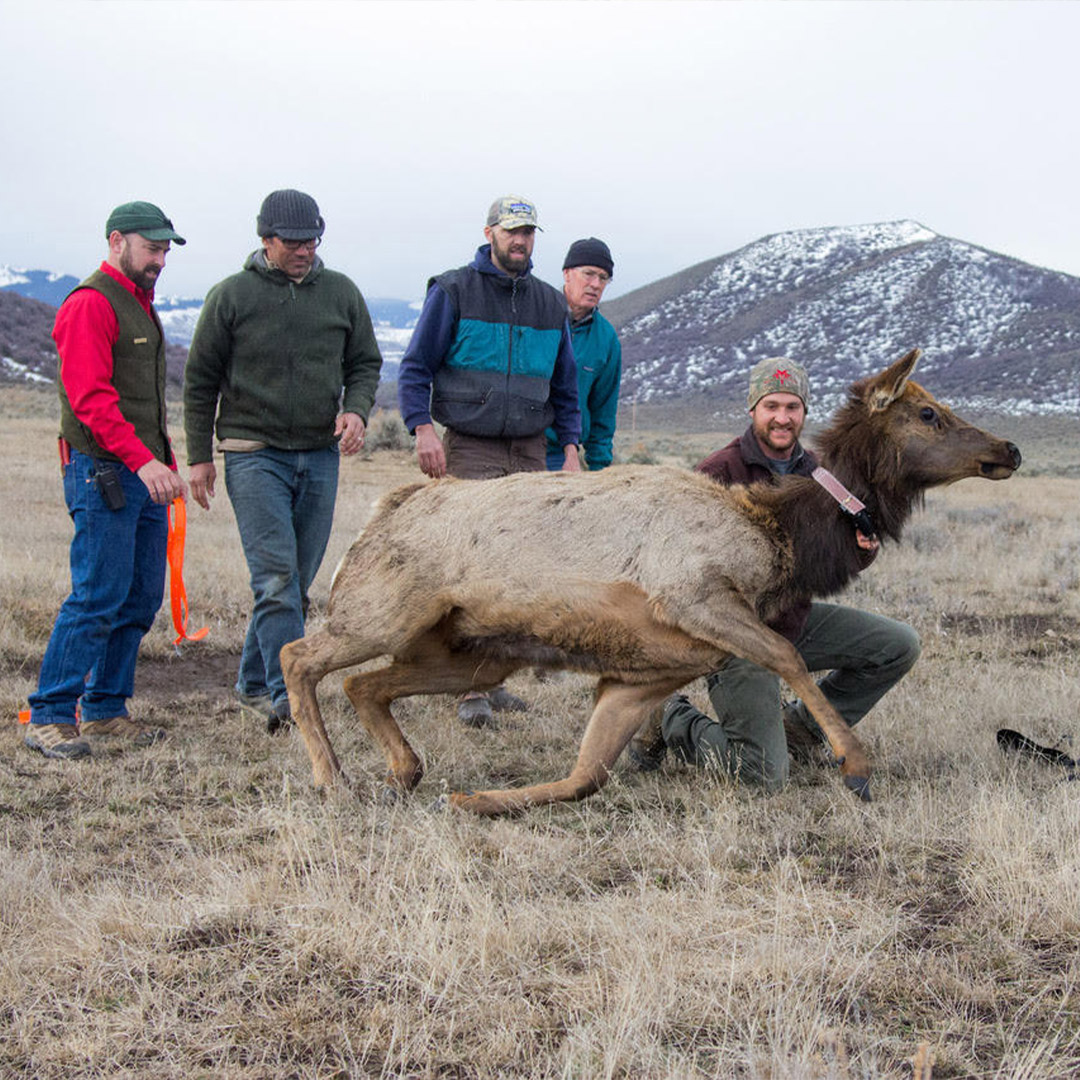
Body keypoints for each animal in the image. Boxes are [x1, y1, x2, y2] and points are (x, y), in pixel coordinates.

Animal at [281, 350, 1021, 815]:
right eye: (928, 413)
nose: (1007, 449)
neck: (780, 538)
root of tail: (383, 510)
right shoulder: (692, 593)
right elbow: (786, 655)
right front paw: (855, 764)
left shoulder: (642, 675)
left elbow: (583, 777)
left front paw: (475, 800)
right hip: (383, 611)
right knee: (300, 655)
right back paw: (330, 778)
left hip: (471, 655)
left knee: (364, 685)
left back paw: (405, 771)